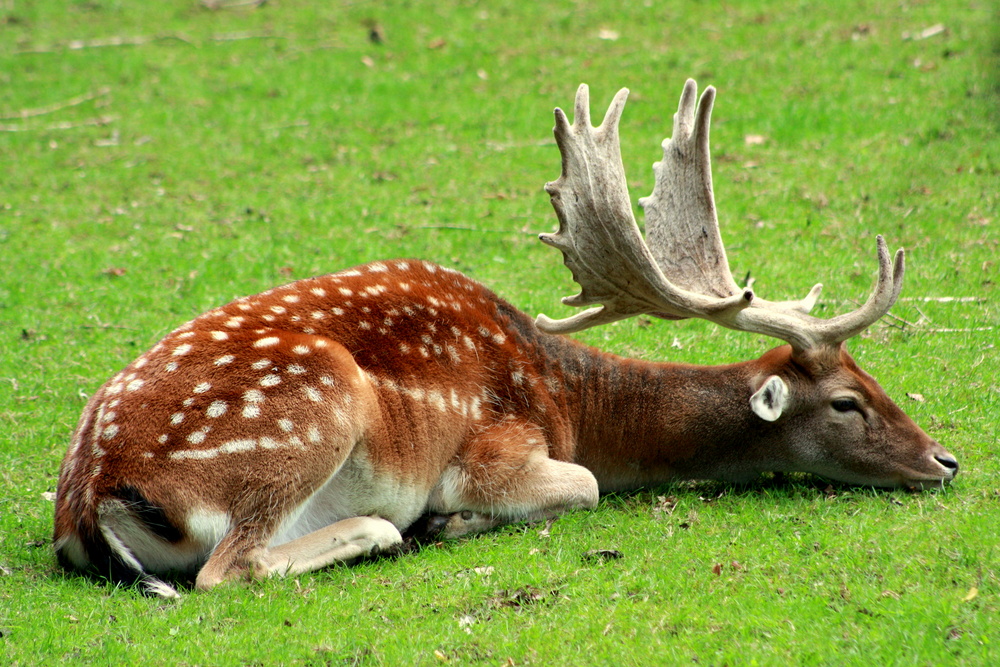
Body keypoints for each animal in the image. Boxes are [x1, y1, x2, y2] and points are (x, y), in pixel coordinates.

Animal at [54, 79, 960, 600]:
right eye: (847, 402)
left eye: (874, 377)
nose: (946, 459)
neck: (570, 401)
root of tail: (88, 500)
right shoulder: (497, 447)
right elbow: (584, 484)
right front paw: (452, 519)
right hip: (315, 405)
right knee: (228, 566)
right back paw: (396, 529)